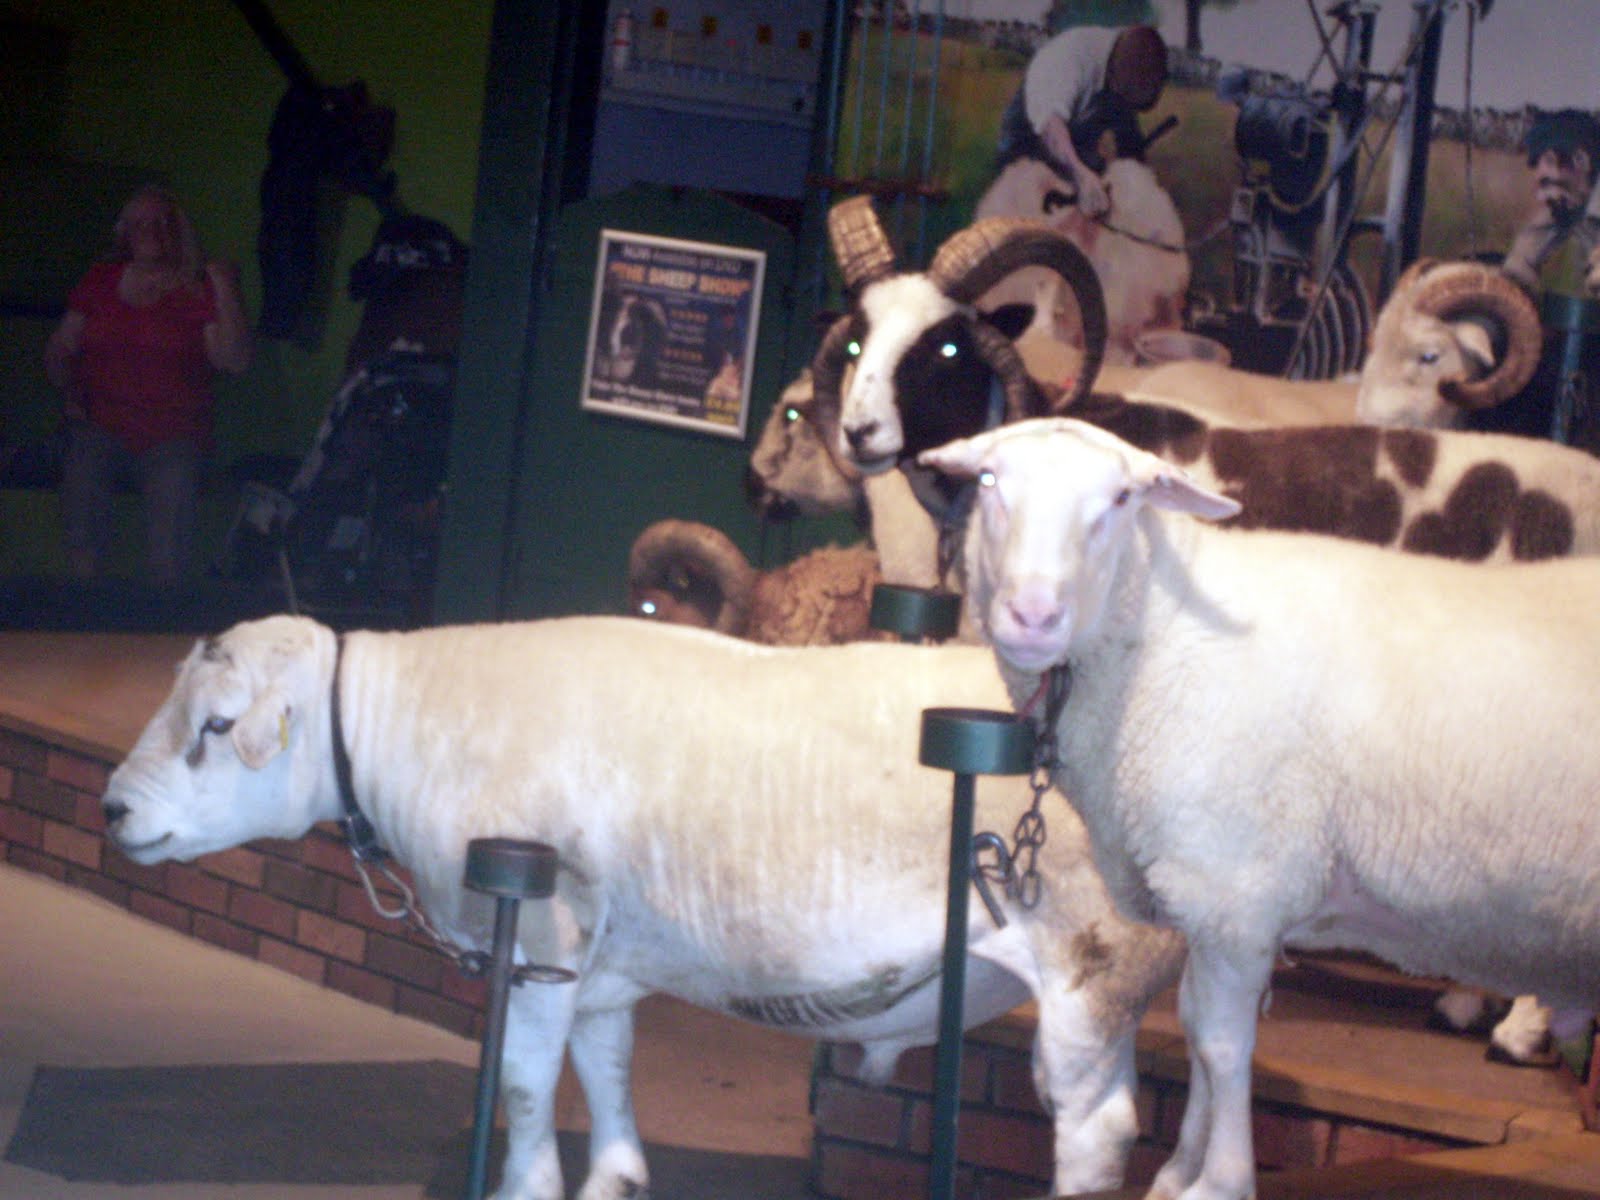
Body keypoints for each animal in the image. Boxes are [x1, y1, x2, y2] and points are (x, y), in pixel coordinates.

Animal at [102, 613, 1188, 1199]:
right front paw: (615, 1176)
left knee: (1097, 1130)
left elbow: (526, 1085)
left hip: (1093, 963)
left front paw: (525, 1183)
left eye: (217, 725)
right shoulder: (599, 960)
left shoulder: (539, 939)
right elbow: (607, 1068)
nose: (114, 808)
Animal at [918, 416, 1600, 1200]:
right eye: (990, 483)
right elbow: (1192, 1024)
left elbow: (1221, 1043)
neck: (1158, 635)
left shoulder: (1234, 884)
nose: (1033, 614)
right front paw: (1178, 1172)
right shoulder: (1208, 896)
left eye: (1120, 499)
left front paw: (1219, 1180)